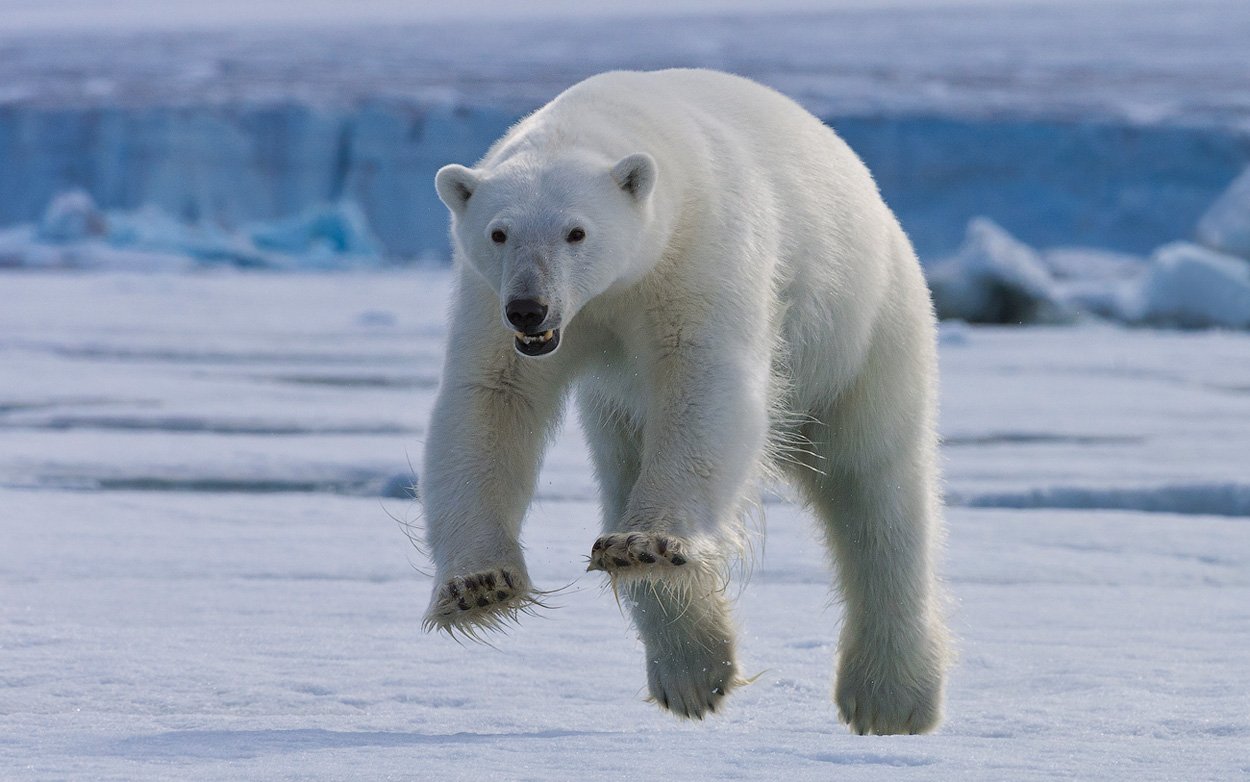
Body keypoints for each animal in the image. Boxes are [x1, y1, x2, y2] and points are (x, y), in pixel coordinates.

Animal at [420, 66, 945, 729]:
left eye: (576, 231)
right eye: (498, 232)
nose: (530, 308)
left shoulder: (699, 255)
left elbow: (703, 381)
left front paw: (644, 543)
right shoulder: (489, 302)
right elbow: (490, 400)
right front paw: (478, 586)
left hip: (863, 332)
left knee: (877, 488)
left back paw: (889, 698)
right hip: (617, 410)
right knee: (624, 464)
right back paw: (693, 671)